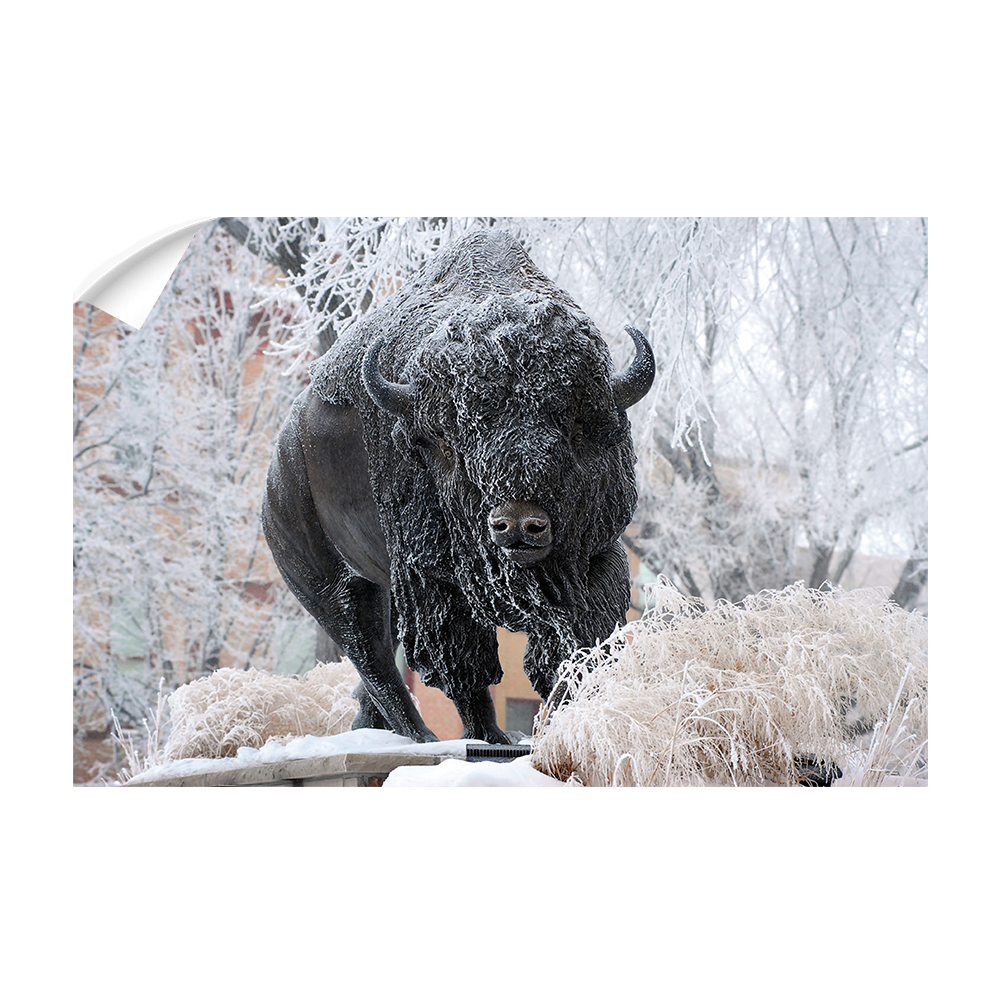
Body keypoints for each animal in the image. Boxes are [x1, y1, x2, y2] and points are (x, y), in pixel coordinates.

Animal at [262, 230, 654, 744]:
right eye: (451, 439)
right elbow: (465, 667)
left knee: (379, 660)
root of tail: (278, 469)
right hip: (331, 585)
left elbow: (582, 641)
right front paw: (492, 738)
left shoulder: (596, 554)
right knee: (372, 657)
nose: (517, 525)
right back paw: (421, 738)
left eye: (573, 426)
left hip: (384, 588)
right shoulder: (433, 580)